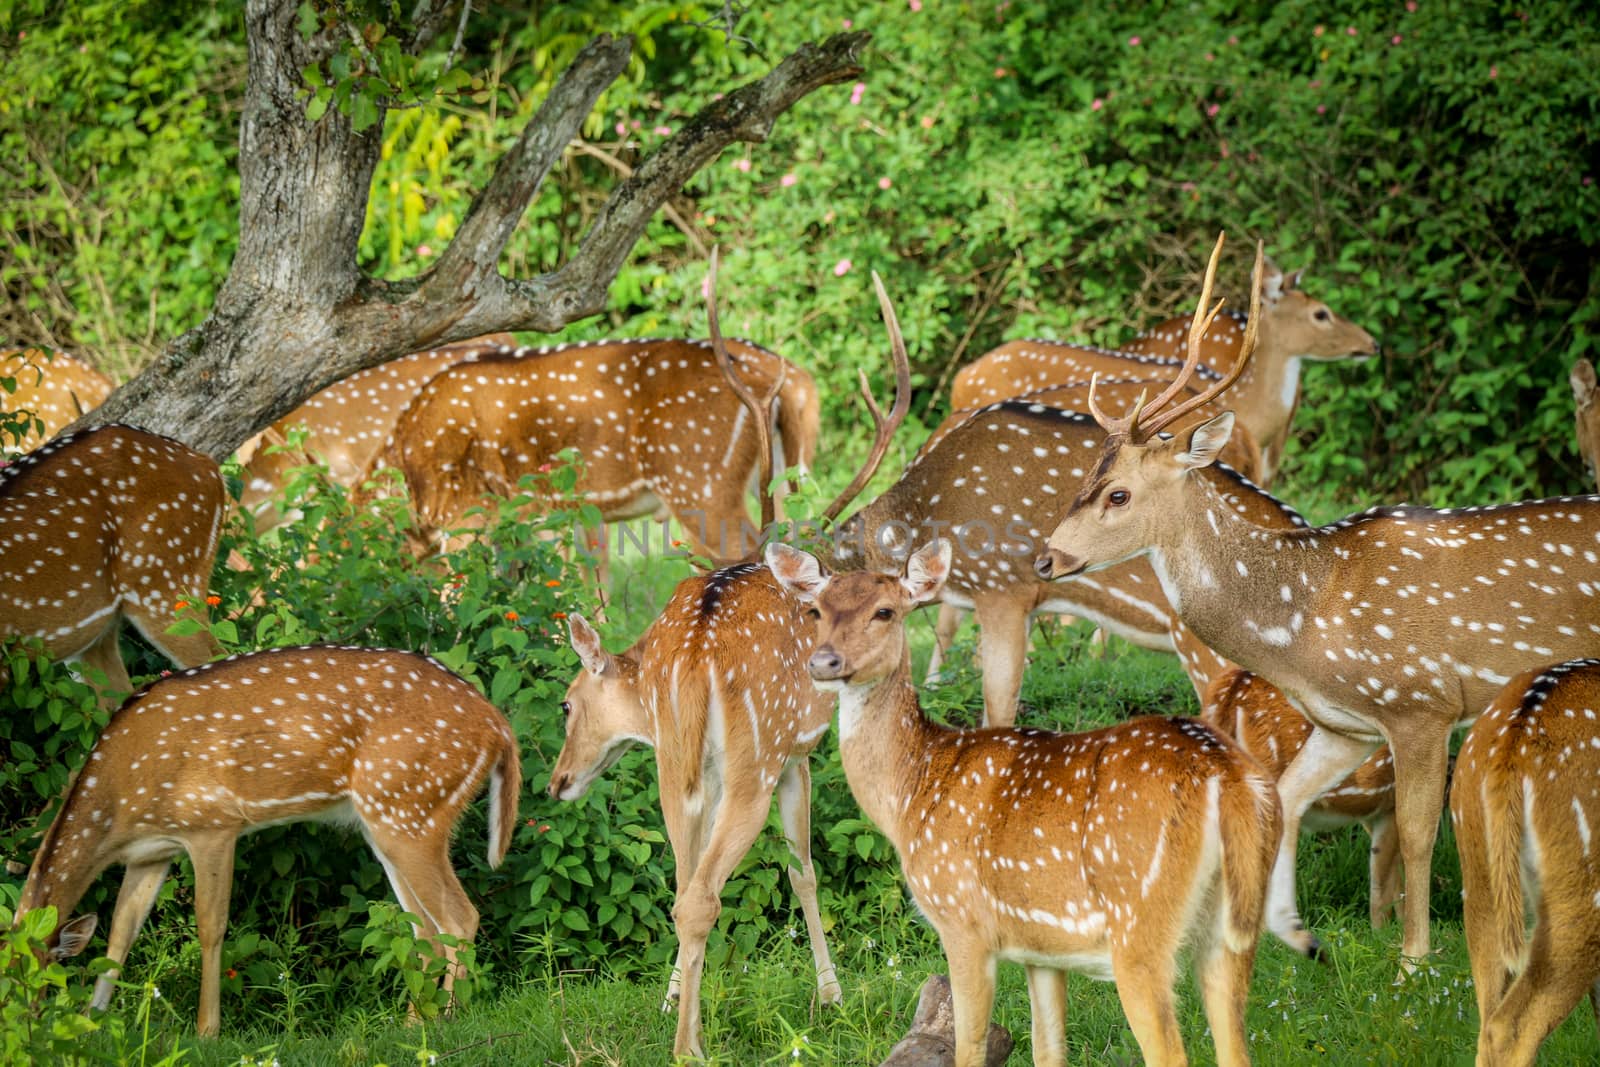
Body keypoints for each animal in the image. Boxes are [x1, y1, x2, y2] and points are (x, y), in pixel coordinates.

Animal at [768, 543, 1280, 1067]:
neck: (913, 791)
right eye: (815, 610)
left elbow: (968, 1047)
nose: (824, 662)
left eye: (885, 612)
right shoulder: (1042, 949)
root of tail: (1229, 779)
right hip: (1234, 928)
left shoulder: (962, 919)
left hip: (1140, 928)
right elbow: (1047, 1050)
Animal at [1036, 235, 1600, 979]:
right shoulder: (1345, 722)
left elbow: (1417, 833)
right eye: (1084, 479)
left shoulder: (1420, 700)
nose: (1045, 560)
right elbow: (1287, 799)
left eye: (1118, 493)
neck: (1303, 622)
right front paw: (1297, 935)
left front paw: (1412, 961)